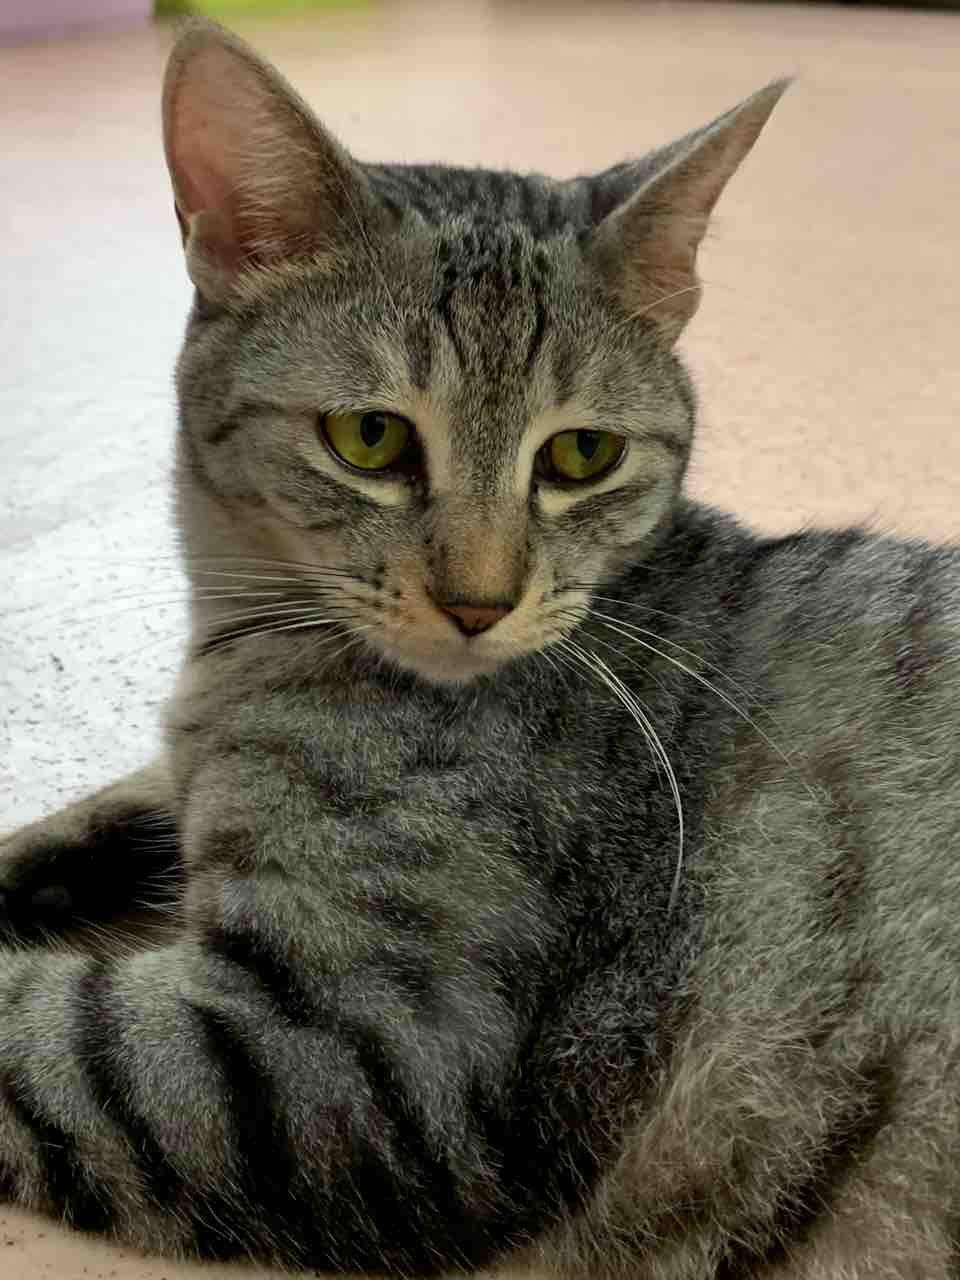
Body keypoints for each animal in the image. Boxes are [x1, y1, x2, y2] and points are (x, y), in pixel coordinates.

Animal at [2, 17, 959, 1280]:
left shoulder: (357, 1062)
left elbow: (42, 1028)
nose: (479, 600)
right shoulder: (171, 787)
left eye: (582, 455)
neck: (243, 653)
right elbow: (79, 818)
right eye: (369, 437)